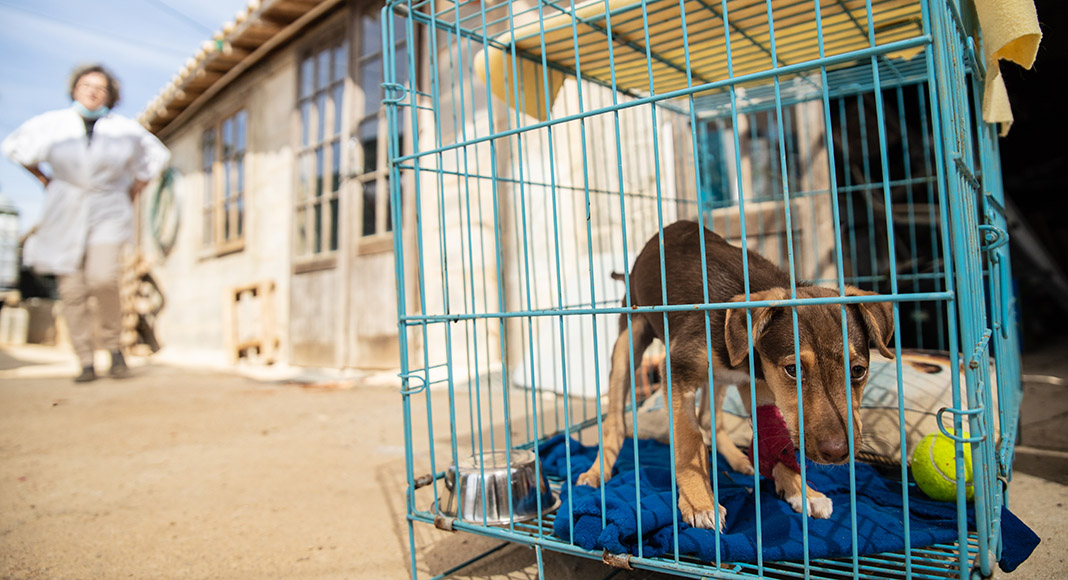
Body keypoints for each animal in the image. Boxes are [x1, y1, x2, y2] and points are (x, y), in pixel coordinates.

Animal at [576, 221, 892, 531]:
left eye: (858, 371)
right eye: (793, 369)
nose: (837, 453)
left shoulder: (760, 385)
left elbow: (773, 438)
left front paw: (802, 491)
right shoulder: (677, 369)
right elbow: (689, 440)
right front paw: (700, 502)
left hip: (721, 379)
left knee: (709, 419)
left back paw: (739, 460)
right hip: (629, 341)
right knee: (616, 423)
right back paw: (596, 473)